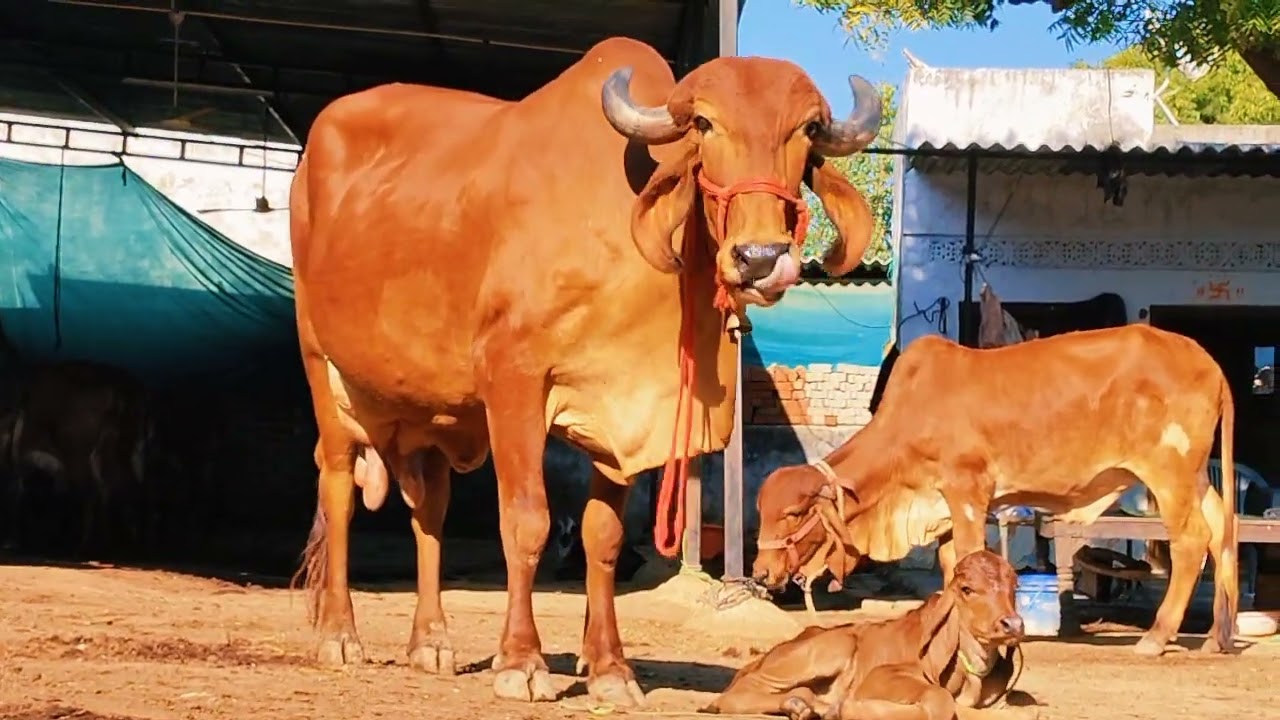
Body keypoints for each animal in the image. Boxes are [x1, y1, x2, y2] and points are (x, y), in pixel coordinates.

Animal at [288, 36, 883, 706]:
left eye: (806, 129)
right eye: (705, 124)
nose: (761, 257)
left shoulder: (622, 411)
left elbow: (604, 538)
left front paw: (610, 669)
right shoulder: (513, 383)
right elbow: (527, 522)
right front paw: (521, 661)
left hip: (433, 410)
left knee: (430, 508)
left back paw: (431, 642)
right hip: (321, 363)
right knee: (338, 488)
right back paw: (340, 635)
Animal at [705, 550, 1025, 720]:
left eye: (1015, 586)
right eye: (967, 589)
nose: (1012, 625)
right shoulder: (881, 676)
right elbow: (939, 699)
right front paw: (852, 708)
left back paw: (805, 706)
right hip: (835, 645)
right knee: (734, 695)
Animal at [753, 325, 1239, 658]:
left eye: (793, 514)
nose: (759, 572)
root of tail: (1209, 363)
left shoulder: (967, 490)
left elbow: (969, 557)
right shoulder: (942, 505)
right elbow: (951, 565)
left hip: (1169, 472)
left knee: (1192, 540)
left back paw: (1157, 636)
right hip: (1197, 477)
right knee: (1223, 531)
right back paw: (1218, 637)